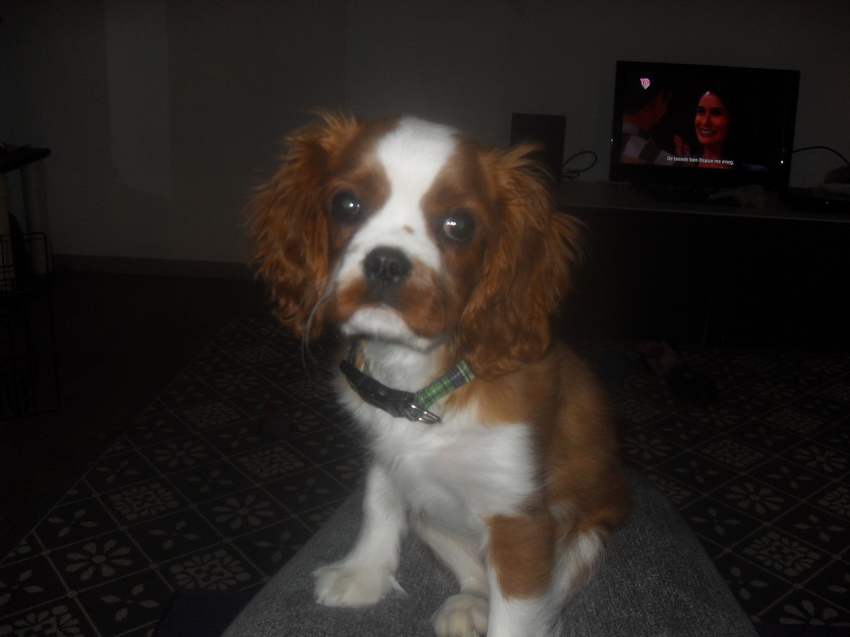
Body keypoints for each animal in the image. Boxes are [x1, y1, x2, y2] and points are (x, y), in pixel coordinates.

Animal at [249, 112, 630, 637]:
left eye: (460, 226)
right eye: (346, 204)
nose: (386, 263)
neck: (419, 386)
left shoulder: (519, 518)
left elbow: (517, 613)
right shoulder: (387, 454)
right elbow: (379, 504)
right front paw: (363, 574)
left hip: (585, 532)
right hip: (431, 517)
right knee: (472, 571)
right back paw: (469, 604)